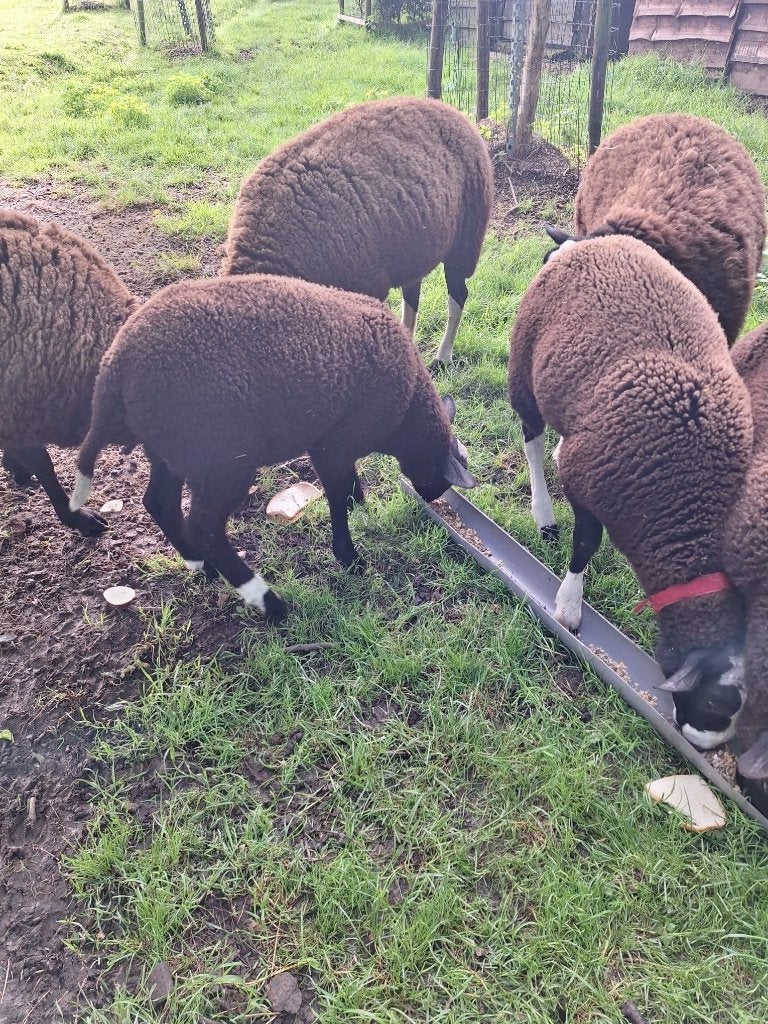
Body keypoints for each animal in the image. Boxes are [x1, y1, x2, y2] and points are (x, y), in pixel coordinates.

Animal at [69, 273, 477, 620]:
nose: (430, 497)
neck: (407, 412)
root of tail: (115, 365)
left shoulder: (331, 442)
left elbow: (345, 484)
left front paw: (357, 503)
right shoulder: (334, 442)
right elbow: (336, 492)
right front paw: (349, 558)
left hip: (174, 448)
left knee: (159, 503)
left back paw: (201, 565)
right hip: (221, 457)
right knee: (204, 526)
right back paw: (266, 601)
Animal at [221, 96, 494, 367]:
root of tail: (448, 109)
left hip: (465, 240)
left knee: (458, 295)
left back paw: (443, 357)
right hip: (412, 250)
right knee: (412, 296)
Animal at [508, 234, 753, 744]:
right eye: (714, 701)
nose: (700, 742)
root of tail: (581, 243)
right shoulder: (589, 481)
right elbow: (586, 541)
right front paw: (568, 607)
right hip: (523, 369)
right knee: (532, 441)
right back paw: (544, 513)